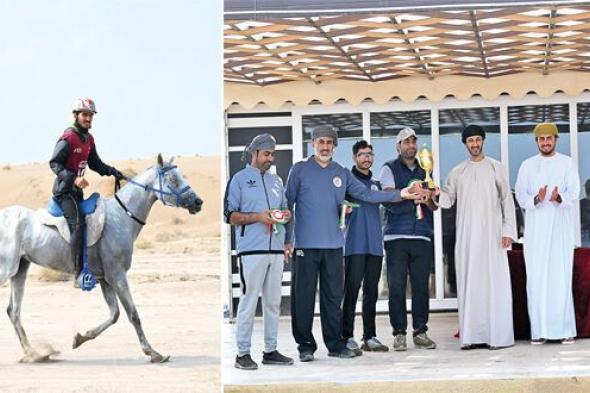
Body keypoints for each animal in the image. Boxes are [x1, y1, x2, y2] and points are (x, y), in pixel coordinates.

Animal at [0, 153, 204, 362]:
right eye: (173, 179)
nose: (198, 202)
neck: (122, 217)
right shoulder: (117, 275)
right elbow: (132, 314)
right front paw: (153, 353)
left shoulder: (105, 278)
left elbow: (114, 314)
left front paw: (80, 338)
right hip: (6, 269)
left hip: (20, 270)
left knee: (13, 311)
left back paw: (33, 354)